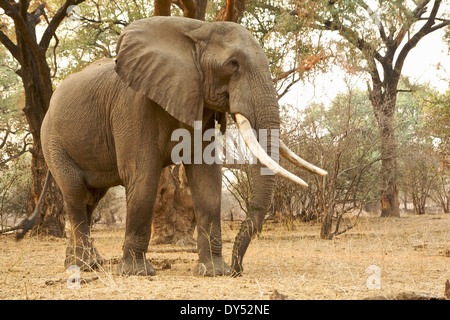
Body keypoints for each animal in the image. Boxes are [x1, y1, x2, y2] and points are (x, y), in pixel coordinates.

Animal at [18, 16, 326, 278]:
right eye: (233, 64)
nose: (238, 269)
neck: (197, 31)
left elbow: (206, 177)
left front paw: (214, 272)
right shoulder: (133, 104)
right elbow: (143, 175)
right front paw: (138, 273)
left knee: (89, 199)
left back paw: (78, 264)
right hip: (52, 139)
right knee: (74, 193)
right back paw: (87, 266)